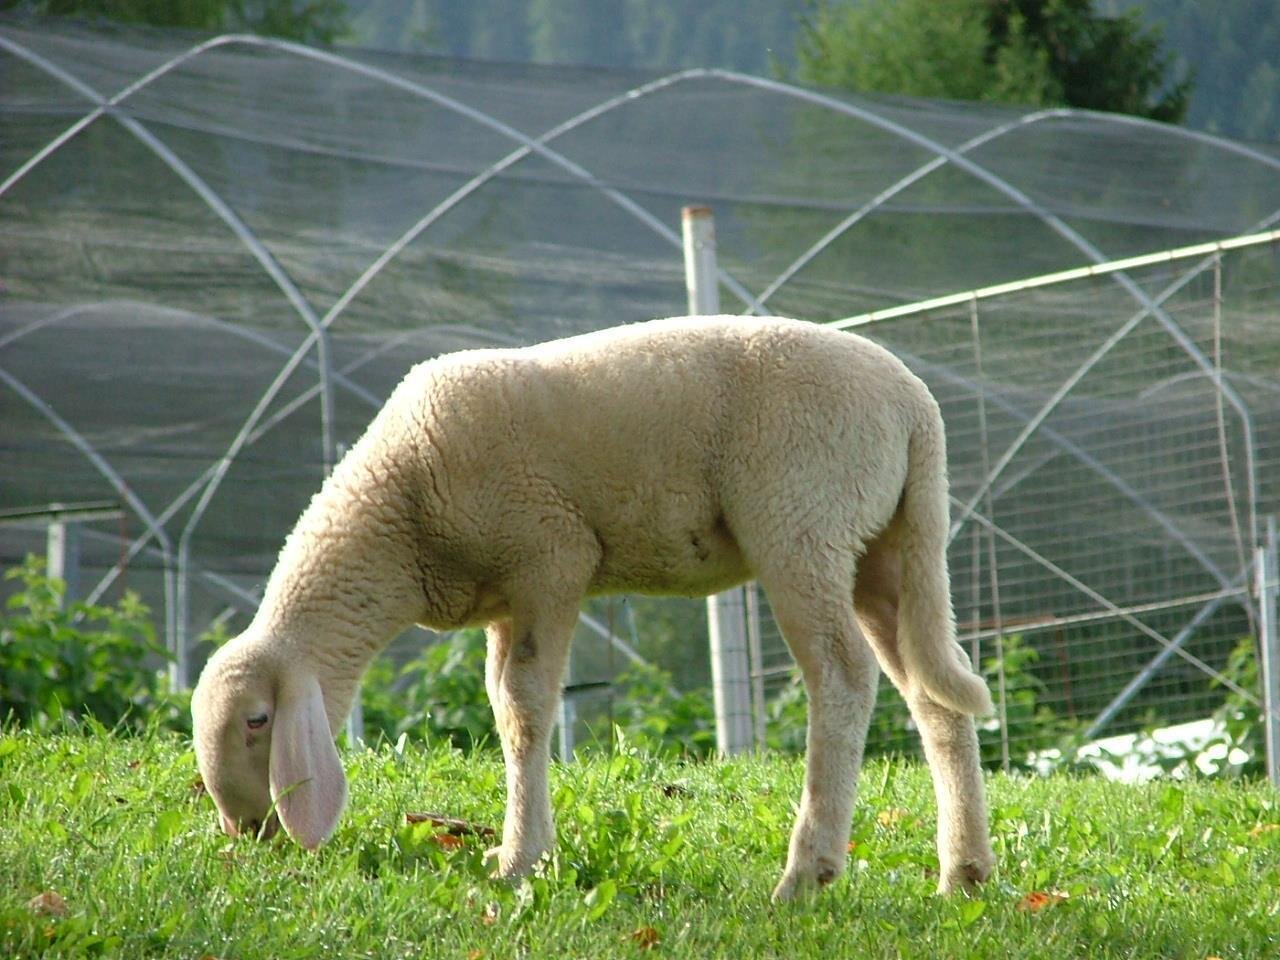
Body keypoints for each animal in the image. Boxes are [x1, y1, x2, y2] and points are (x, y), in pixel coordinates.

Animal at [190, 314, 995, 900]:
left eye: (257, 722)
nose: (245, 830)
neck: (400, 516)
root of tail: (915, 406)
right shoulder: (504, 598)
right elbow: (503, 709)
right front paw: (519, 853)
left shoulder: (550, 557)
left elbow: (525, 708)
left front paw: (521, 861)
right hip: (886, 546)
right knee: (934, 692)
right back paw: (964, 874)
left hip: (803, 519)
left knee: (843, 675)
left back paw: (807, 873)